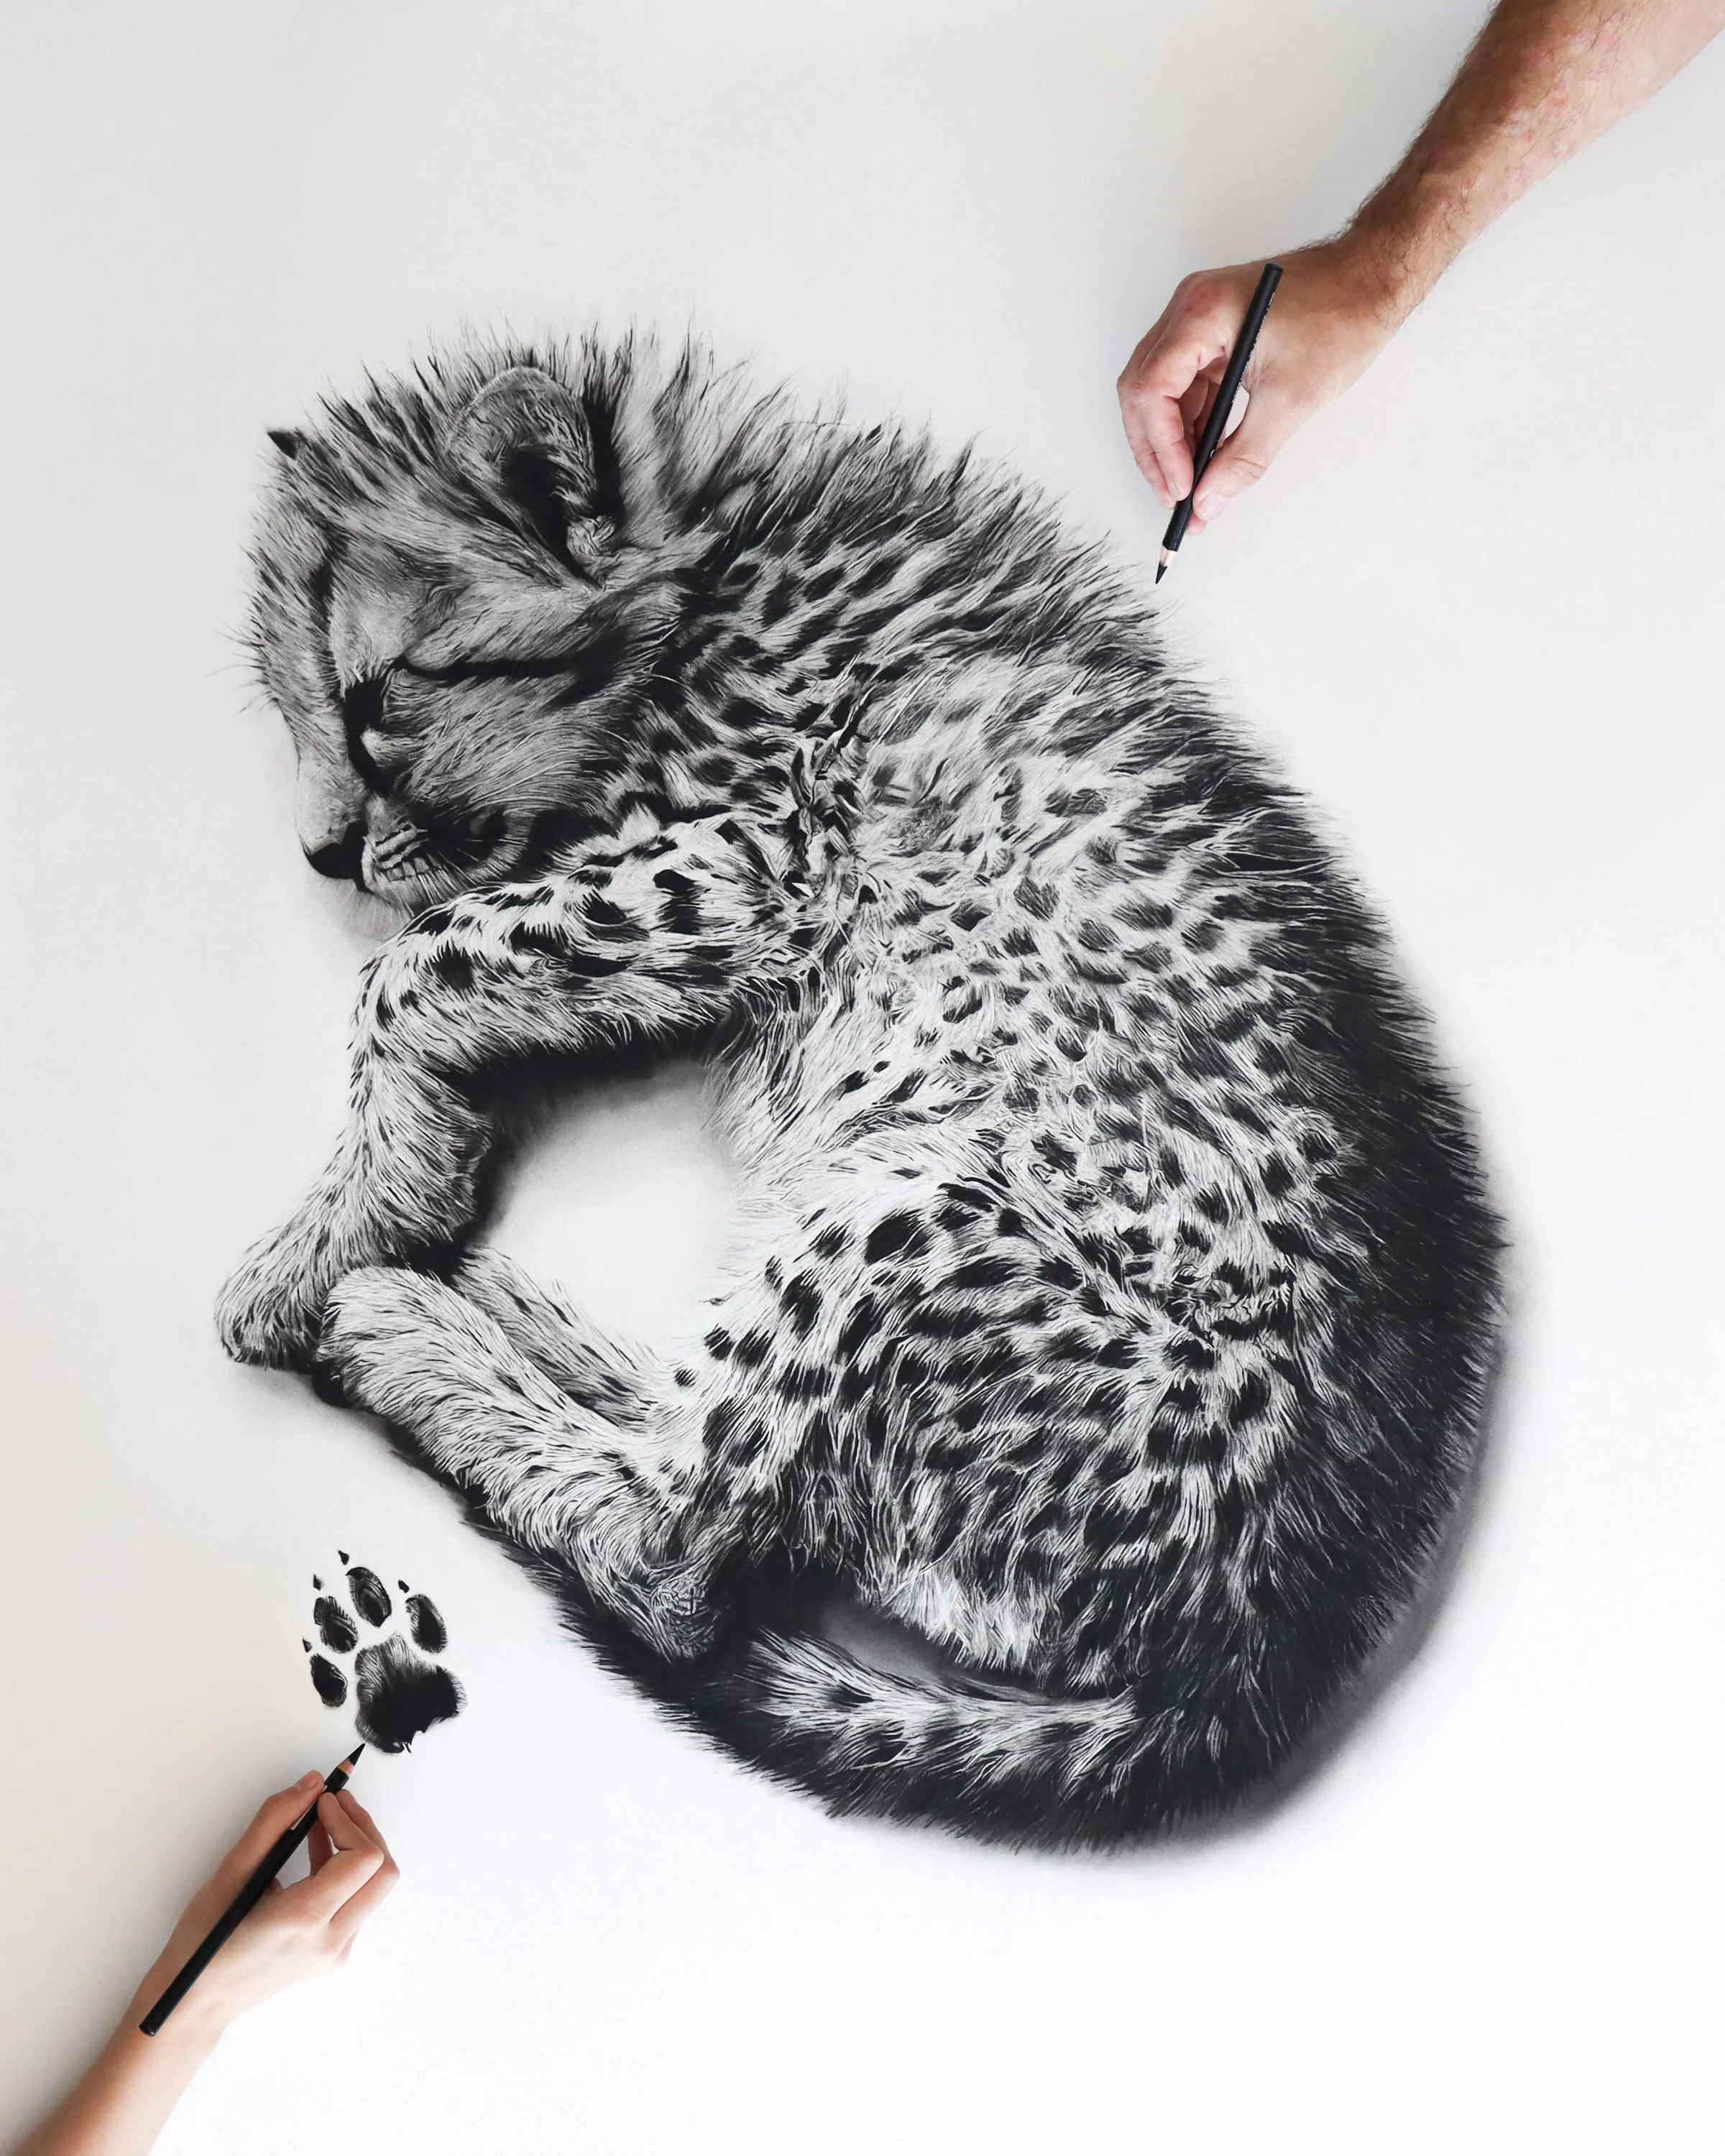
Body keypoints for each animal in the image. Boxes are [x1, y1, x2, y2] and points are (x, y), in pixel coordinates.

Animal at [217, 333, 1502, 1847]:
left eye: (380, 699)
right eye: (297, 709)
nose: (317, 856)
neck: (712, 572)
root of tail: (1267, 1654)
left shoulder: (753, 867)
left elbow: (413, 969)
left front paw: (342, 1231)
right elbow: (436, 964)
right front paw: (387, 1199)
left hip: (922, 1208)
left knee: (675, 1553)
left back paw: (406, 1327)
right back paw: (514, 1315)